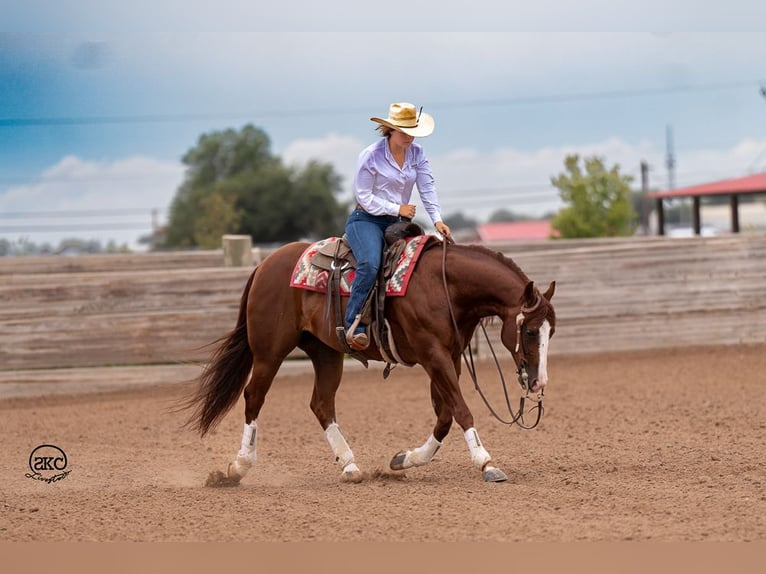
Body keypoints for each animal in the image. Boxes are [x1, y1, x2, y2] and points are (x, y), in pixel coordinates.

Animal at [186, 238, 560, 486]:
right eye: (529, 331)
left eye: (550, 331)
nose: (539, 382)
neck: (444, 287)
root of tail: (264, 265)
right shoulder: (433, 356)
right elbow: (461, 410)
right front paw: (486, 463)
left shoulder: (448, 358)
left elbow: (444, 416)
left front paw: (405, 459)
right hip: (269, 352)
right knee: (254, 397)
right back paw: (239, 467)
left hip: (326, 353)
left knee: (321, 404)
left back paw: (349, 466)